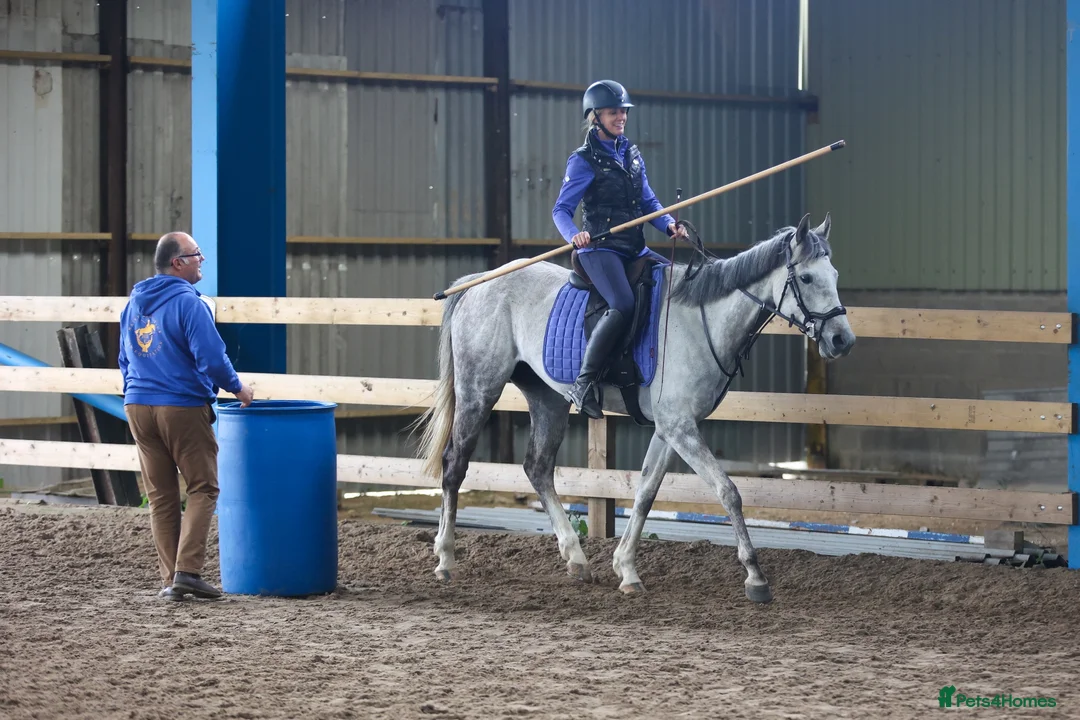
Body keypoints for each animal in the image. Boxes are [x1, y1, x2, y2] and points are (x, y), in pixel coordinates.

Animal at [415, 212, 855, 603]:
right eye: (806, 277)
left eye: (835, 276)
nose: (842, 340)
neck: (703, 320)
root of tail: (476, 284)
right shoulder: (679, 427)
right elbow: (728, 491)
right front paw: (755, 577)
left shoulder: (669, 428)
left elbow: (645, 493)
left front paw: (626, 570)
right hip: (479, 389)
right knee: (455, 465)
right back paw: (446, 560)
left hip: (547, 399)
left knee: (537, 468)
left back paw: (576, 560)